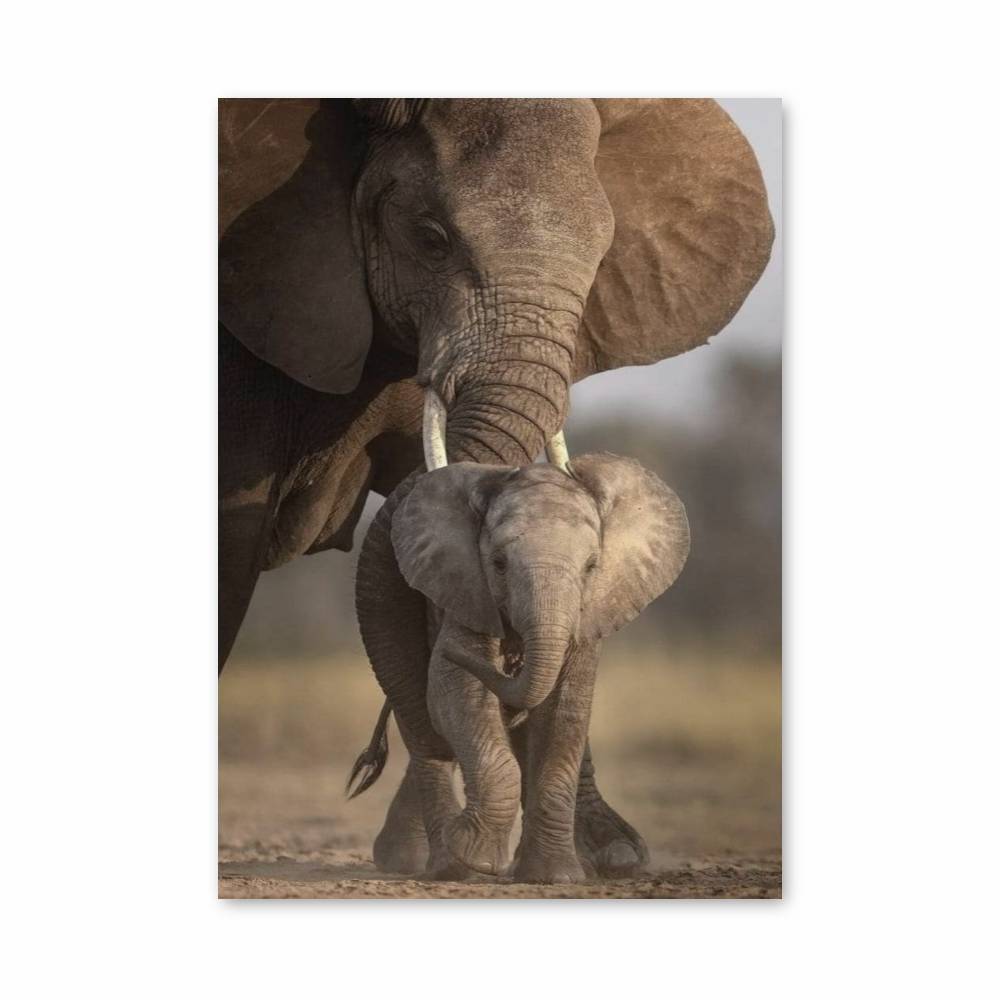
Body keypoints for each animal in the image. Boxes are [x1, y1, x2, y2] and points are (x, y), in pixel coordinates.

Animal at [351, 454, 690, 882]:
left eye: (591, 566)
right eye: (497, 564)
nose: (511, 662)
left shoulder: (586, 617)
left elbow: (566, 711)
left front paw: (555, 877)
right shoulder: (466, 589)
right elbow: (455, 693)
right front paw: (474, 855)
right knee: (420, 721)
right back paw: (446, 864)